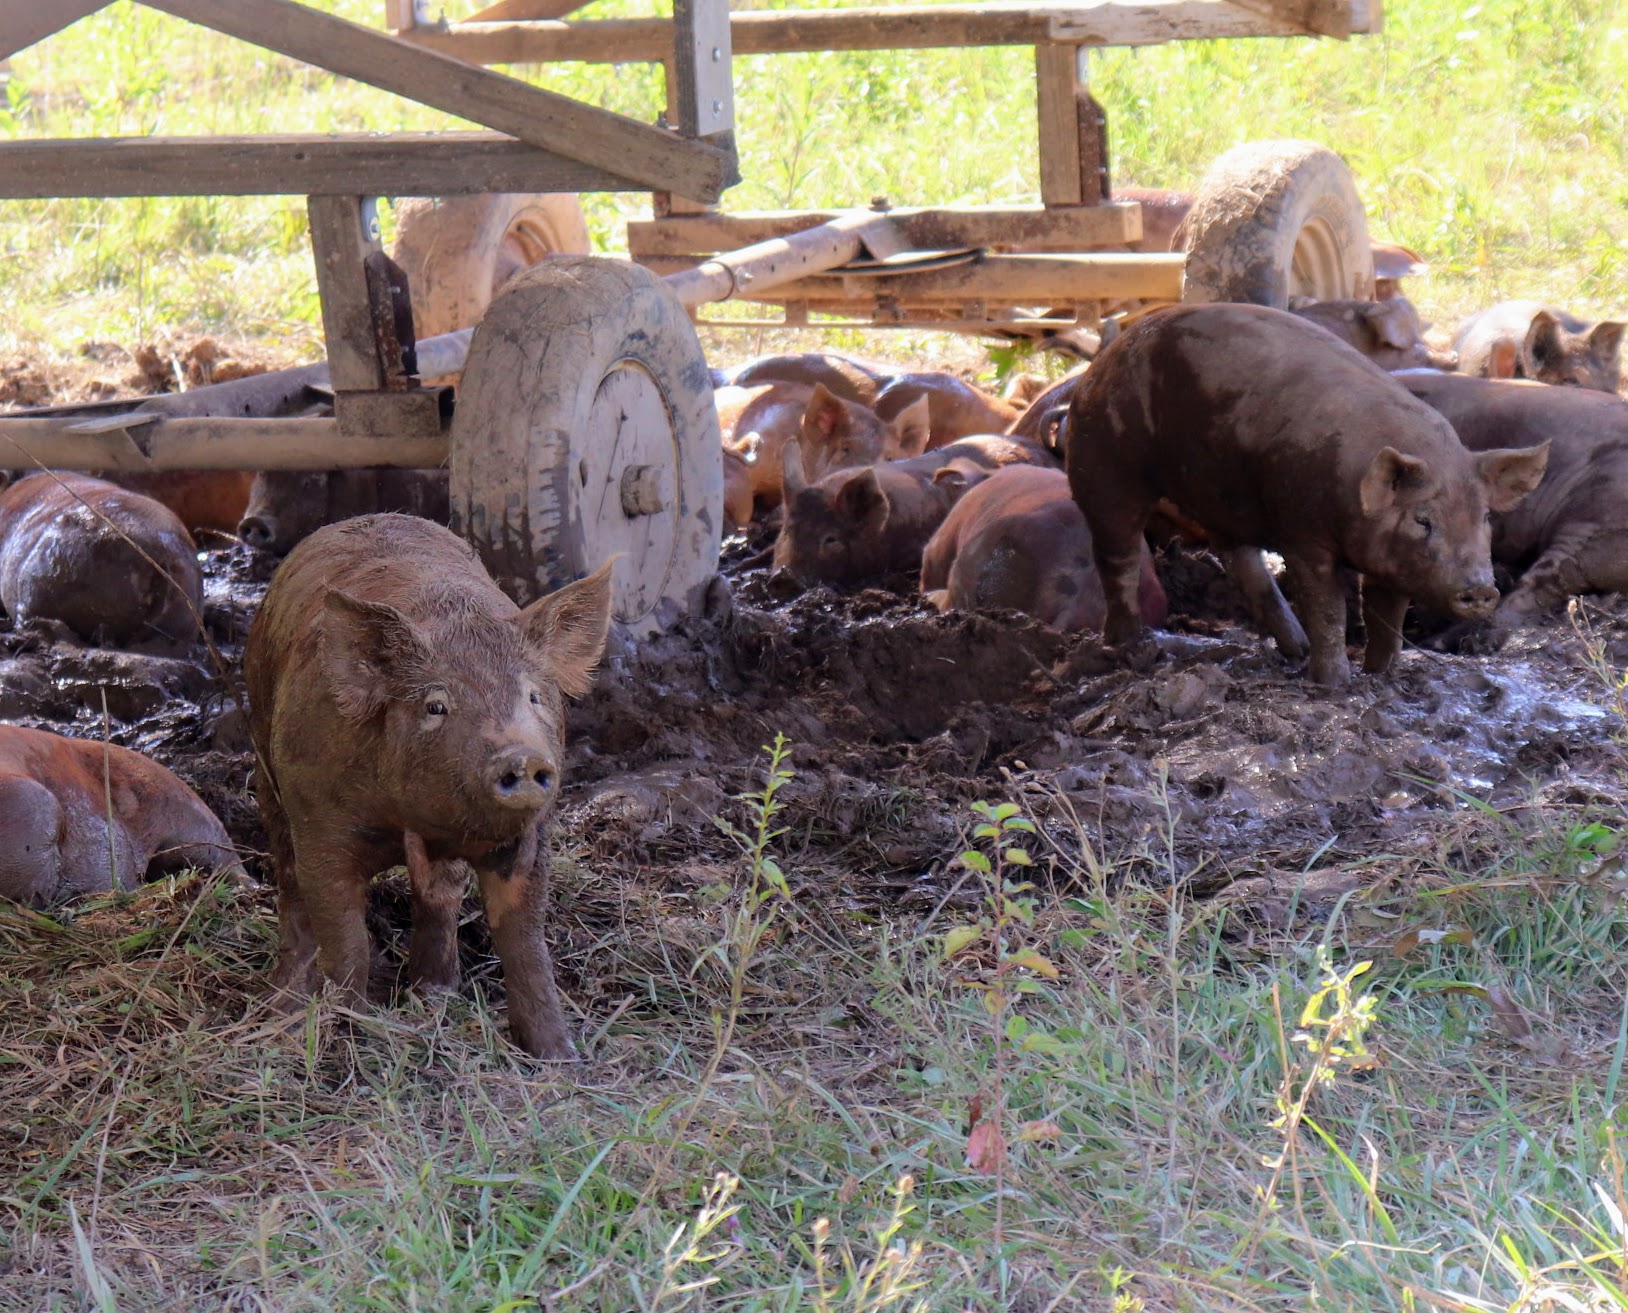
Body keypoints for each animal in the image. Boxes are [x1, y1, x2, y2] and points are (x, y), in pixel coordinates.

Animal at [244, 513, 612, 1060]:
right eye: (436, 705)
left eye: (533, 696)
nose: (522, 757)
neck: (416, 823)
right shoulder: (318, 819)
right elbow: (344, 934)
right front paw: (346, 1033)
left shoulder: (529, 838)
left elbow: (525, 940)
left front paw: (560, 1058)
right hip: (263, 755)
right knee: (288, 880)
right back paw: (282, 1005)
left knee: (441, 895)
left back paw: (432, 994)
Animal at [1066, 304, 1550, 686]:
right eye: (1422, 519)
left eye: (1484, 517)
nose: (1482, 590)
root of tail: (1107, 353)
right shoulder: (1303, 534)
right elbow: (1329, 608)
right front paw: (1334, 684)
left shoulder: (1393, 563)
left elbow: (1386, 615)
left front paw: (1383, 675)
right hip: (1104, 461)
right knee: (1117, 554)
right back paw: (1128, 647)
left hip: (1223, 496)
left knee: (1240, 559)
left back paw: (1294, 651)